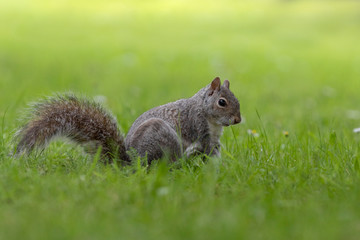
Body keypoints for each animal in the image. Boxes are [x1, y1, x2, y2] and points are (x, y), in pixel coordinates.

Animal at [16, 78, 242, 164]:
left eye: (236, 100)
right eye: (222, 102)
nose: (238, 120)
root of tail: (130, 162)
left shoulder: (213, 137)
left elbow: (214, 149)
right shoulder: (197, 125)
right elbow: (205, 146)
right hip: (162, 138)